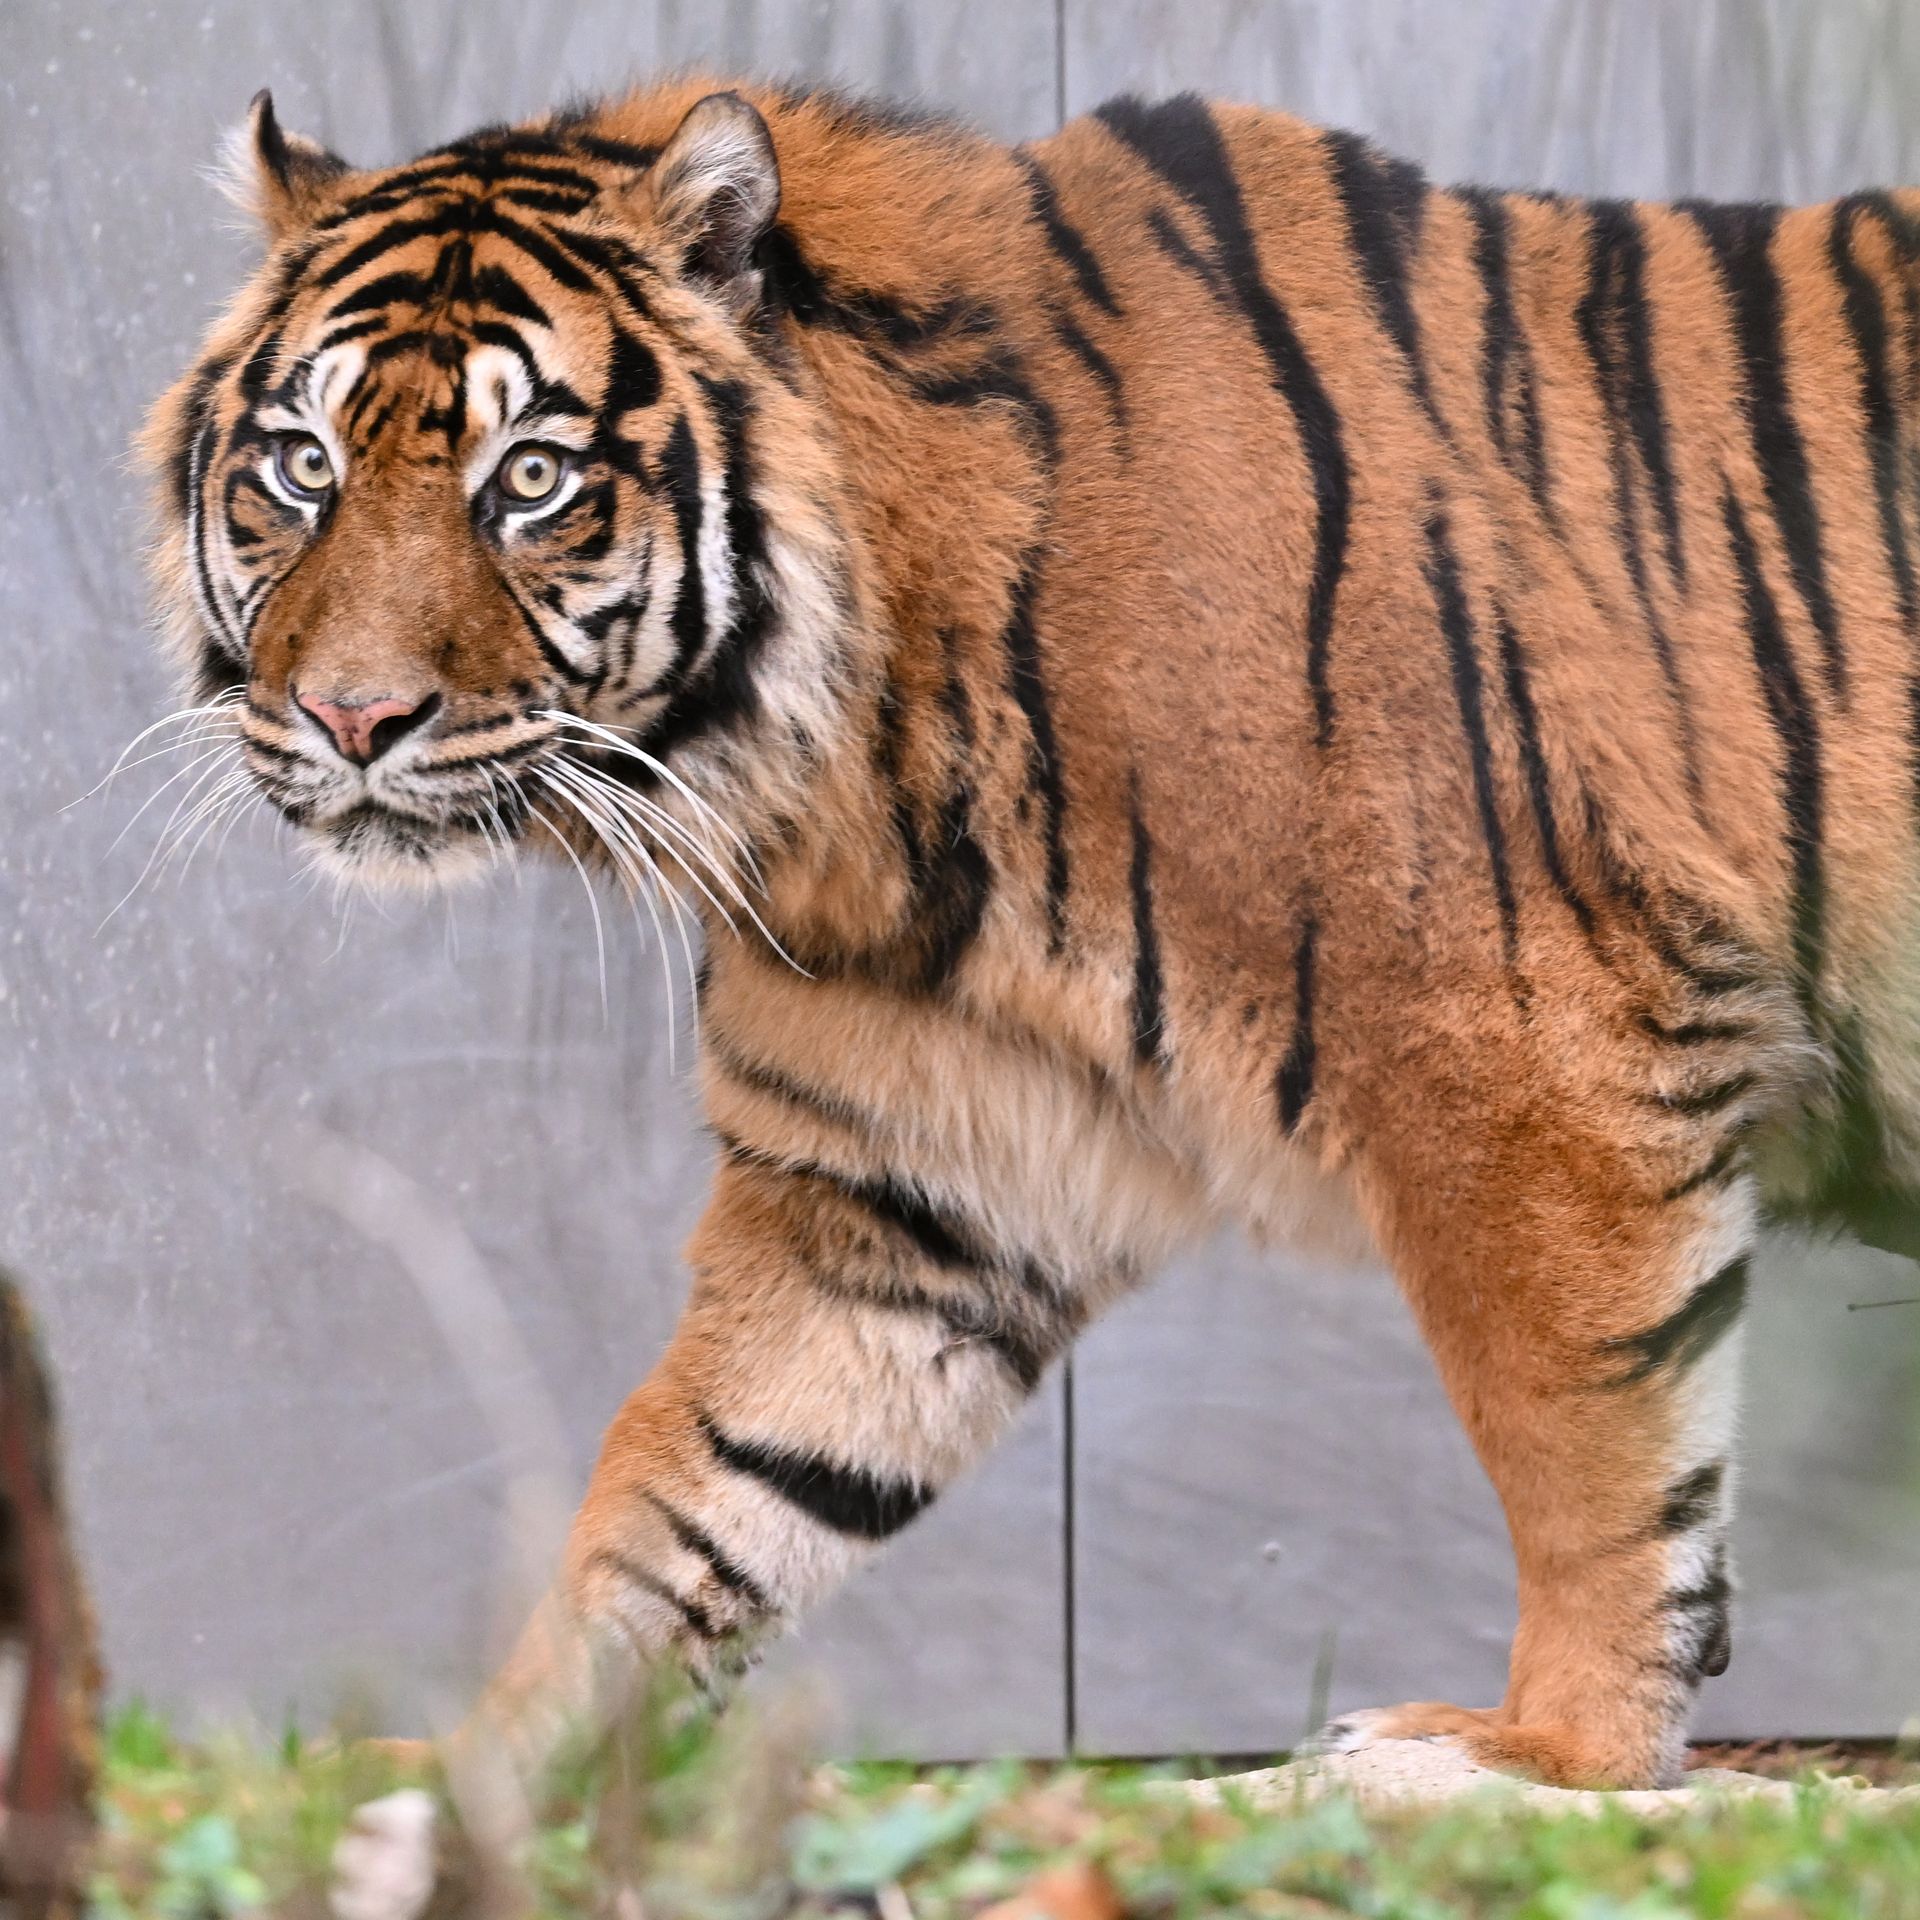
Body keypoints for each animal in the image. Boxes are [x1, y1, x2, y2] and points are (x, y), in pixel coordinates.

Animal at [142, 71, 1920, 1781]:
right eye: (301, 466)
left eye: (530, 481)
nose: (353, 717)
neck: (860, 768)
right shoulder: (894, 1193)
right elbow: (683, 1498)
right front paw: (489, 1774)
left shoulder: (1533, 1049)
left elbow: (1584, 1442)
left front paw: (1554, 1755)